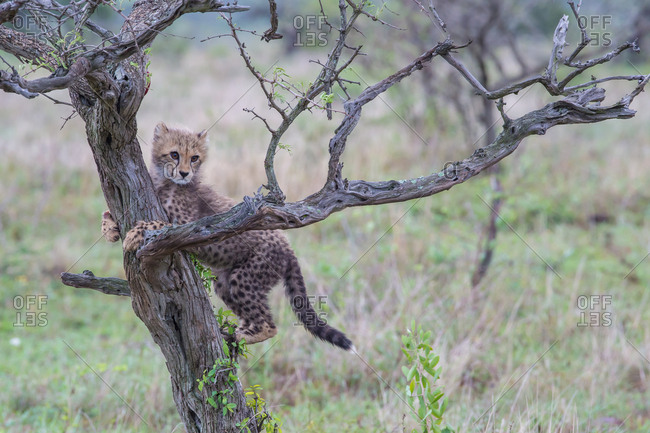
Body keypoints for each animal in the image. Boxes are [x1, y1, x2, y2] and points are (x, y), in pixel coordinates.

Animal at [101, 122, 353, 350]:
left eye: (194, 158)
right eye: (174, 154)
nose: (184, 173)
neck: (167, 181)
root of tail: (288, 248)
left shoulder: (190, 227)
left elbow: (160, 224)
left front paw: (134, 234)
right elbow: (108, 213)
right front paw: (109, 228)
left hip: (247, 276)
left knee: (269, 325)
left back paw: (244, 335)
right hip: (225, 282)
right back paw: (237, 332)